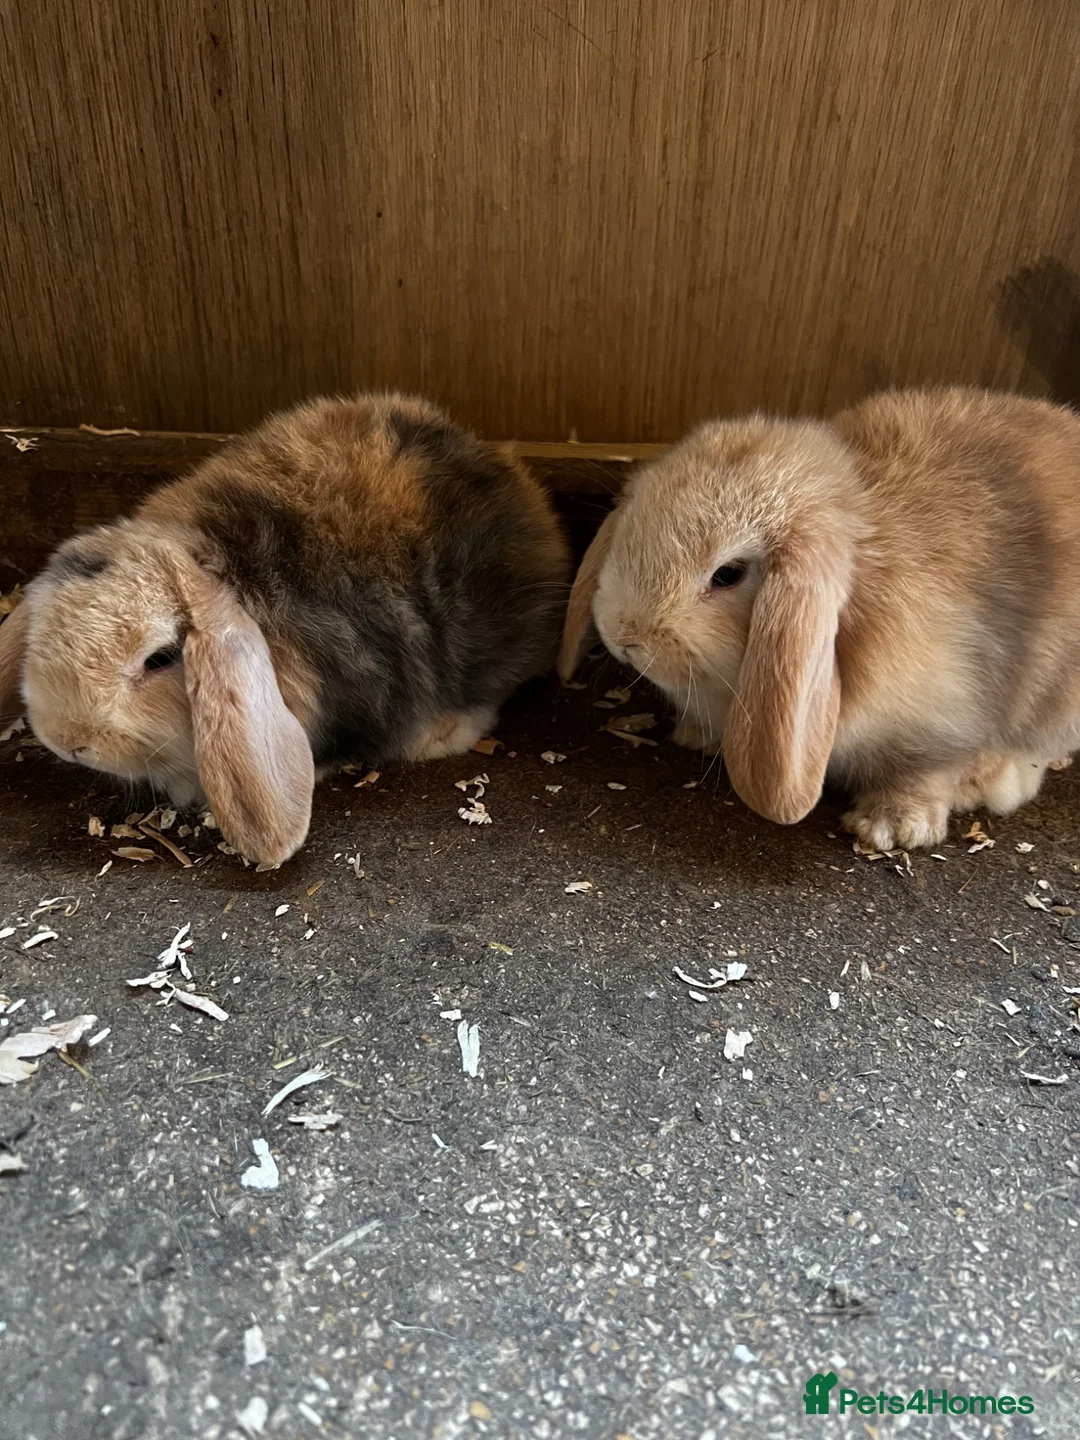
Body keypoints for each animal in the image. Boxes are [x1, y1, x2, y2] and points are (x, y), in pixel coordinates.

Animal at [558, 386, 1080, 850]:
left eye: (728, 574)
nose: (623, 635)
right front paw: (694, 736)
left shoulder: (945, 719)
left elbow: (923, 772)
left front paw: (891, 827)